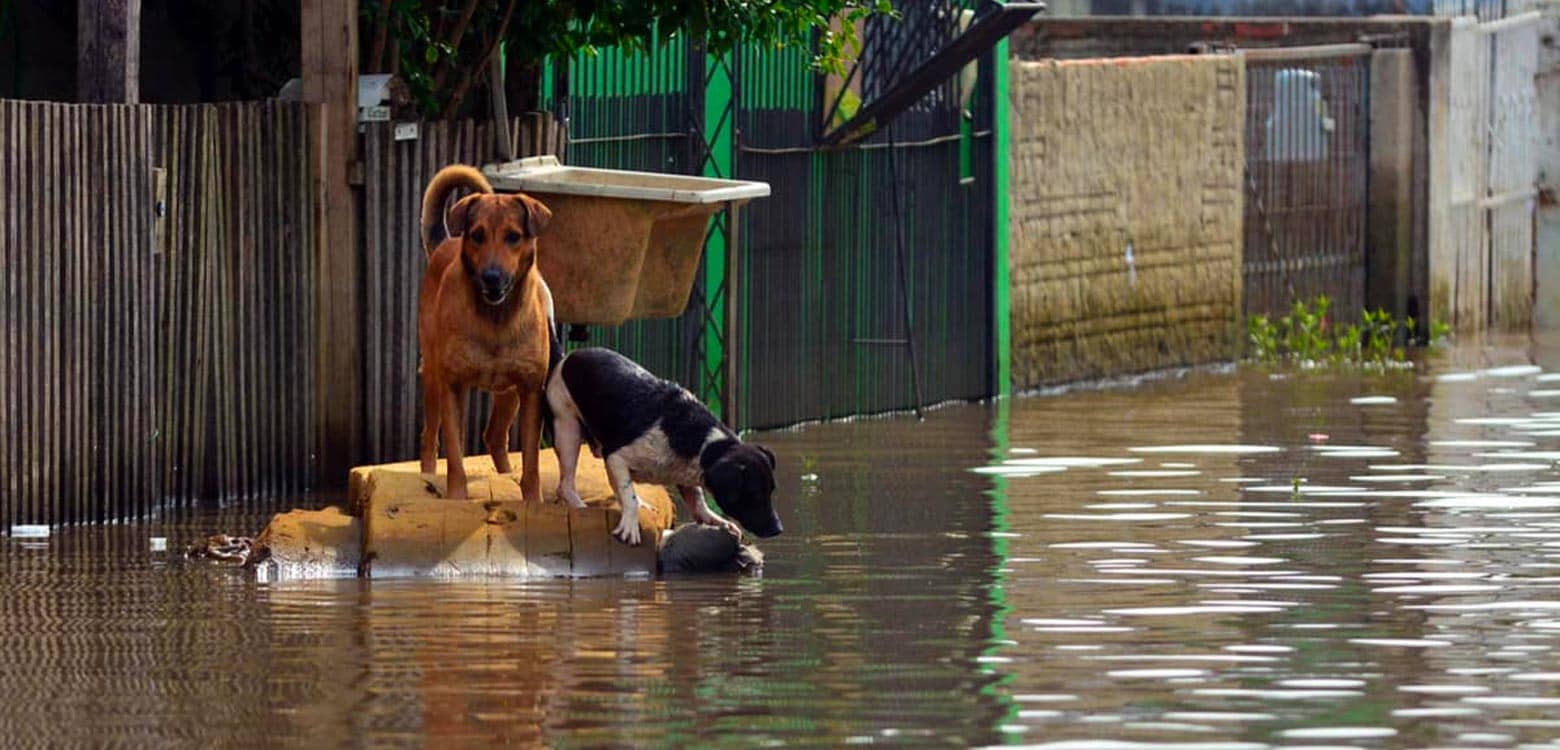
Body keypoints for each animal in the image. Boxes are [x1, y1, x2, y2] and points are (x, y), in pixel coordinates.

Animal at [418, 165, 558, 502]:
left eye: (514, 237)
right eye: (478, 235)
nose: (492, 277)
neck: (496, 319)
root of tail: (446, 241)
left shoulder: (531, 389)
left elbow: (532, 461)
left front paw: (533, 500)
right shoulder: (453, 385)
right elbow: (455, 457)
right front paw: (456, 498)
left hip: (510, 394)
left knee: (494, 435)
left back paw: (506, 474)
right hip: (433, 377)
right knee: (431, 437)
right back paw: (428, 475)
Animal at [546, 344, 786, 542]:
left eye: (771, 490)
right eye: (753, 494)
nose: (778, 530)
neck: (703, 444)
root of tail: (566, 357)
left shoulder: (686, 476)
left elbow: (697, 500)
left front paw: (714, 519)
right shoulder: (616, 456)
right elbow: (628, 494)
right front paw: (630, 525)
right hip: (567, 430)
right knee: (566, 485)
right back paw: (580, 506)